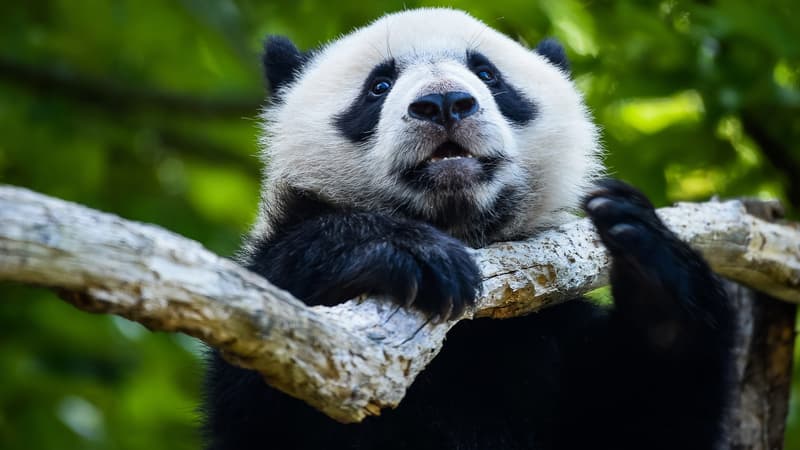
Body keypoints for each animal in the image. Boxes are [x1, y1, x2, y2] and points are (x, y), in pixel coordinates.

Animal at [204, 8, 734, 450]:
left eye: (487, 74)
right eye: (379, 85)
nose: (443, 102)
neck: (456, 223)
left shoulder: (546, 337)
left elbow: (647, 417)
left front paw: (656, 273)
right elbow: (265, 392)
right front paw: (405, 253)